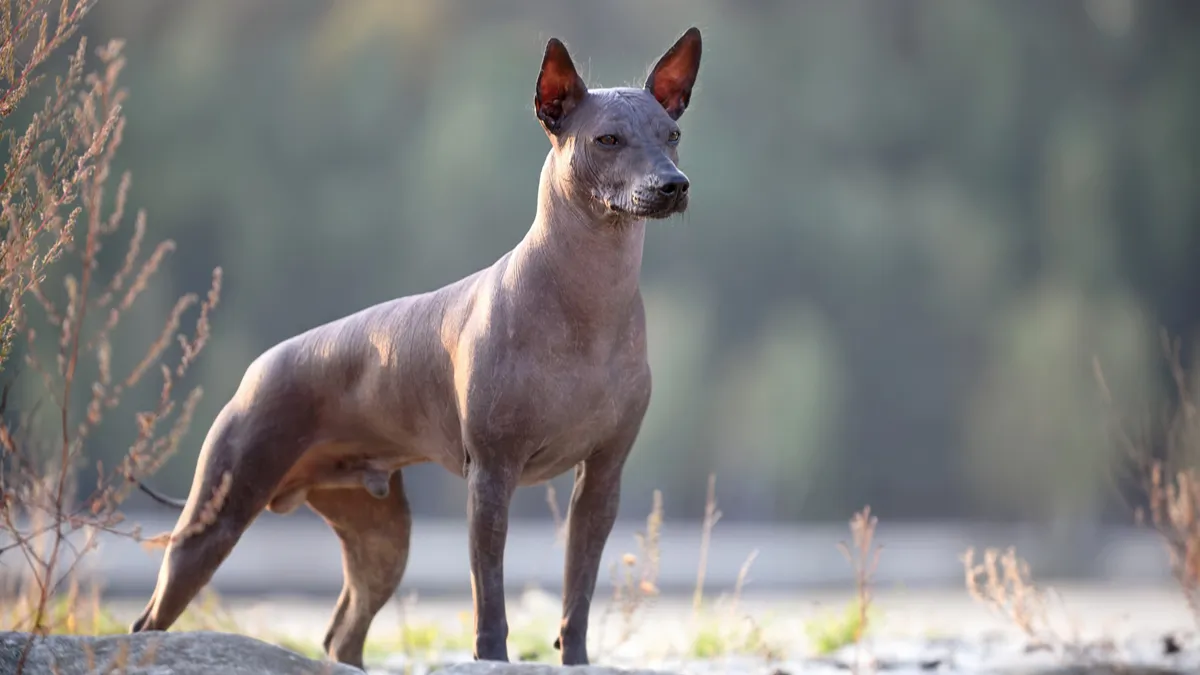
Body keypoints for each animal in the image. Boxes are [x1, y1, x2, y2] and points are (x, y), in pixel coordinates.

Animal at [135, 27, 700, 667]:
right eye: (607, 139)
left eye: (673, 135)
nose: (673, 185)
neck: (589, 301)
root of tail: (257, 370)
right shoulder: (492, 477)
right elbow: (489, 596)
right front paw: (492, 657)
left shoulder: (603, 479)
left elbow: (576, 592)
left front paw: (576, 660)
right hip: (217, 517)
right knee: (151, 620)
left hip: (381, 537)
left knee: (343, 633)